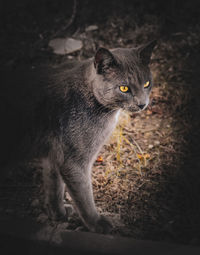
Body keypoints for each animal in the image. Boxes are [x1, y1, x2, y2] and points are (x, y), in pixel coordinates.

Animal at [0, 40, 156, 234]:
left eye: (147, 84)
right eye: (124, 88)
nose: (142, 104)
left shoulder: (54, 154)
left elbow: (54, 185)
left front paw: (58, 214)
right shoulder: (74, 160)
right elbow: (83, 196)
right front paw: (97, 223)